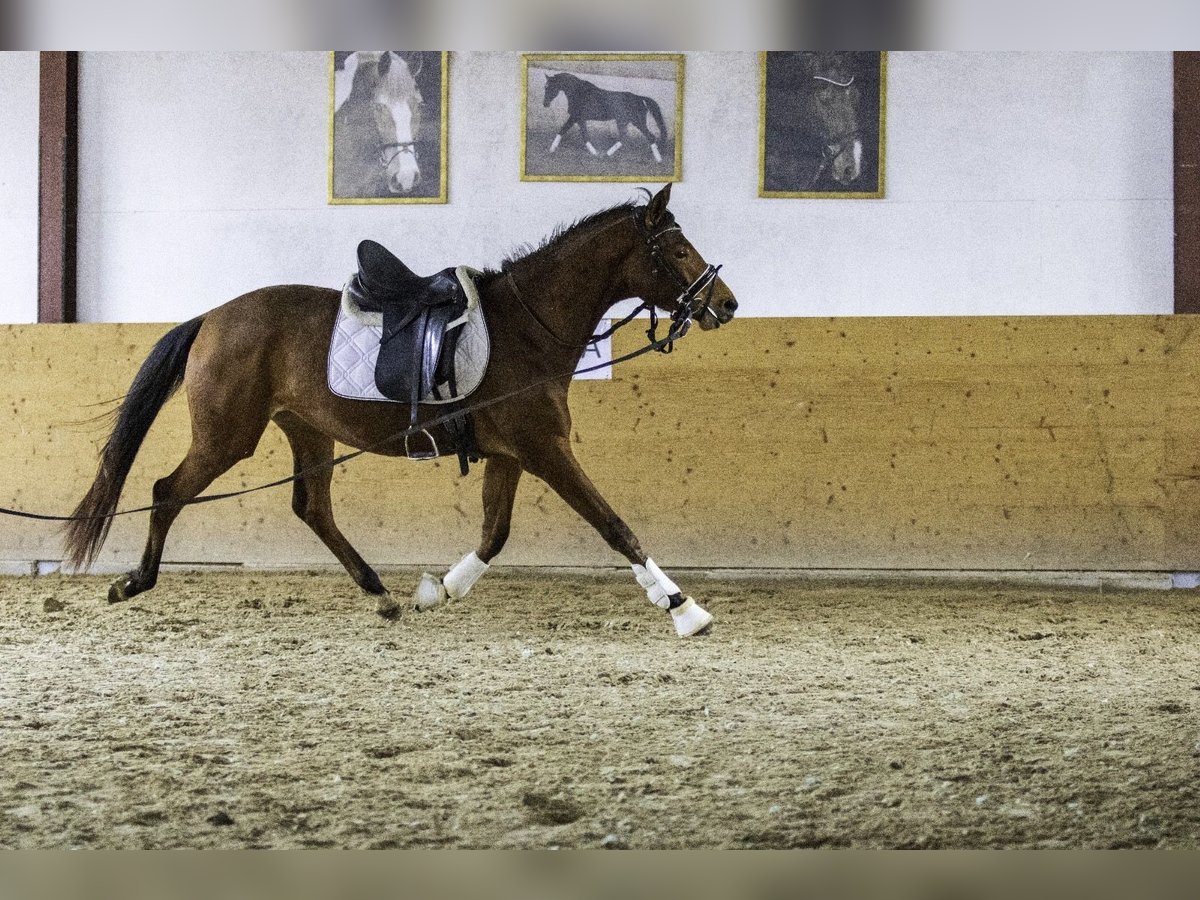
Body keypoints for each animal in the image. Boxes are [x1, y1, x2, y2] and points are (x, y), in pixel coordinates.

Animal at [68, 187, 739, 643]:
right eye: (679, 249)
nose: (727, 305)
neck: (528, 330)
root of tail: (211, 316)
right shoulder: (546, 450)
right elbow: (613, 525)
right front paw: (684, 608)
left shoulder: (512, 454)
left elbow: (495, 534)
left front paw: (439, 590)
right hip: (228, 436)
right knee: (167, 491)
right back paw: (134, 581)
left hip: (307, 430)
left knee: (311, 508)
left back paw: (381, 594)